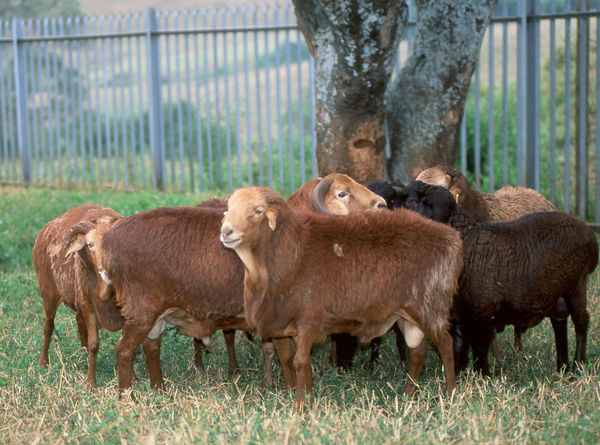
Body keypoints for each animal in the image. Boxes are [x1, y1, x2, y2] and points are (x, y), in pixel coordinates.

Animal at [32, 204, 123, 386]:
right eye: (90, 244)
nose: (106, 267)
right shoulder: (88, 305)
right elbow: (94, 344)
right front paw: (90, 382)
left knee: (80, 324)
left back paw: (82, 353)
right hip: (48, 292)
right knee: (48, 326)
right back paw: (43, 362)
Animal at [220, 186, 464, 408]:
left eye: (258, 211)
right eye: (229, 209)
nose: (226, 232)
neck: (289, 252)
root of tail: (452, 239)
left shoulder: (309, 318)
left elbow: (299, 362)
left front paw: (300, 407)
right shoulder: (297, 326)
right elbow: (303, 362)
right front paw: (309, 400)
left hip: (430, 304)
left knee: (445, 344)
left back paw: (450, 394)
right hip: (404, 313)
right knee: (419, 352)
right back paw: (407, 396)